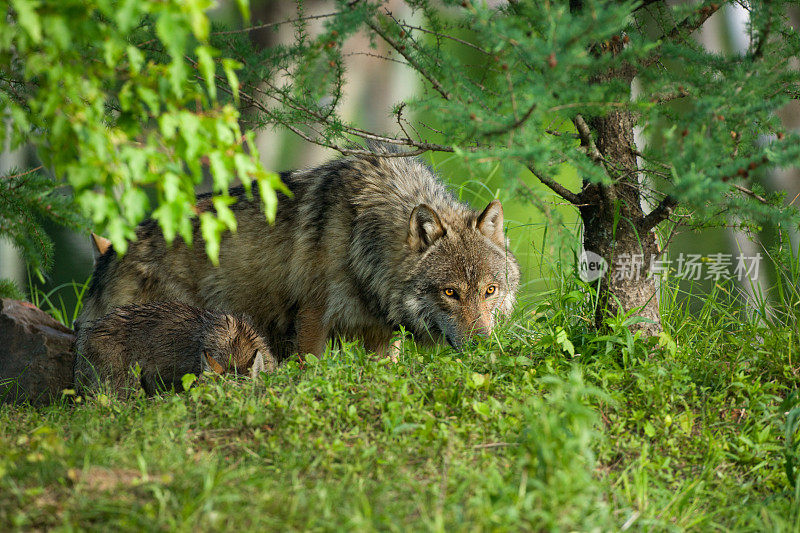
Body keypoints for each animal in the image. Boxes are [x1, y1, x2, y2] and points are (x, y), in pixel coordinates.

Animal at [78, 145, 520, 360]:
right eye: (450, 293)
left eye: (490, 290)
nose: (483, 344)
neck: (361, 239)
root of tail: (107, 257)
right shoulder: (311, 319)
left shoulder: (382, 335)